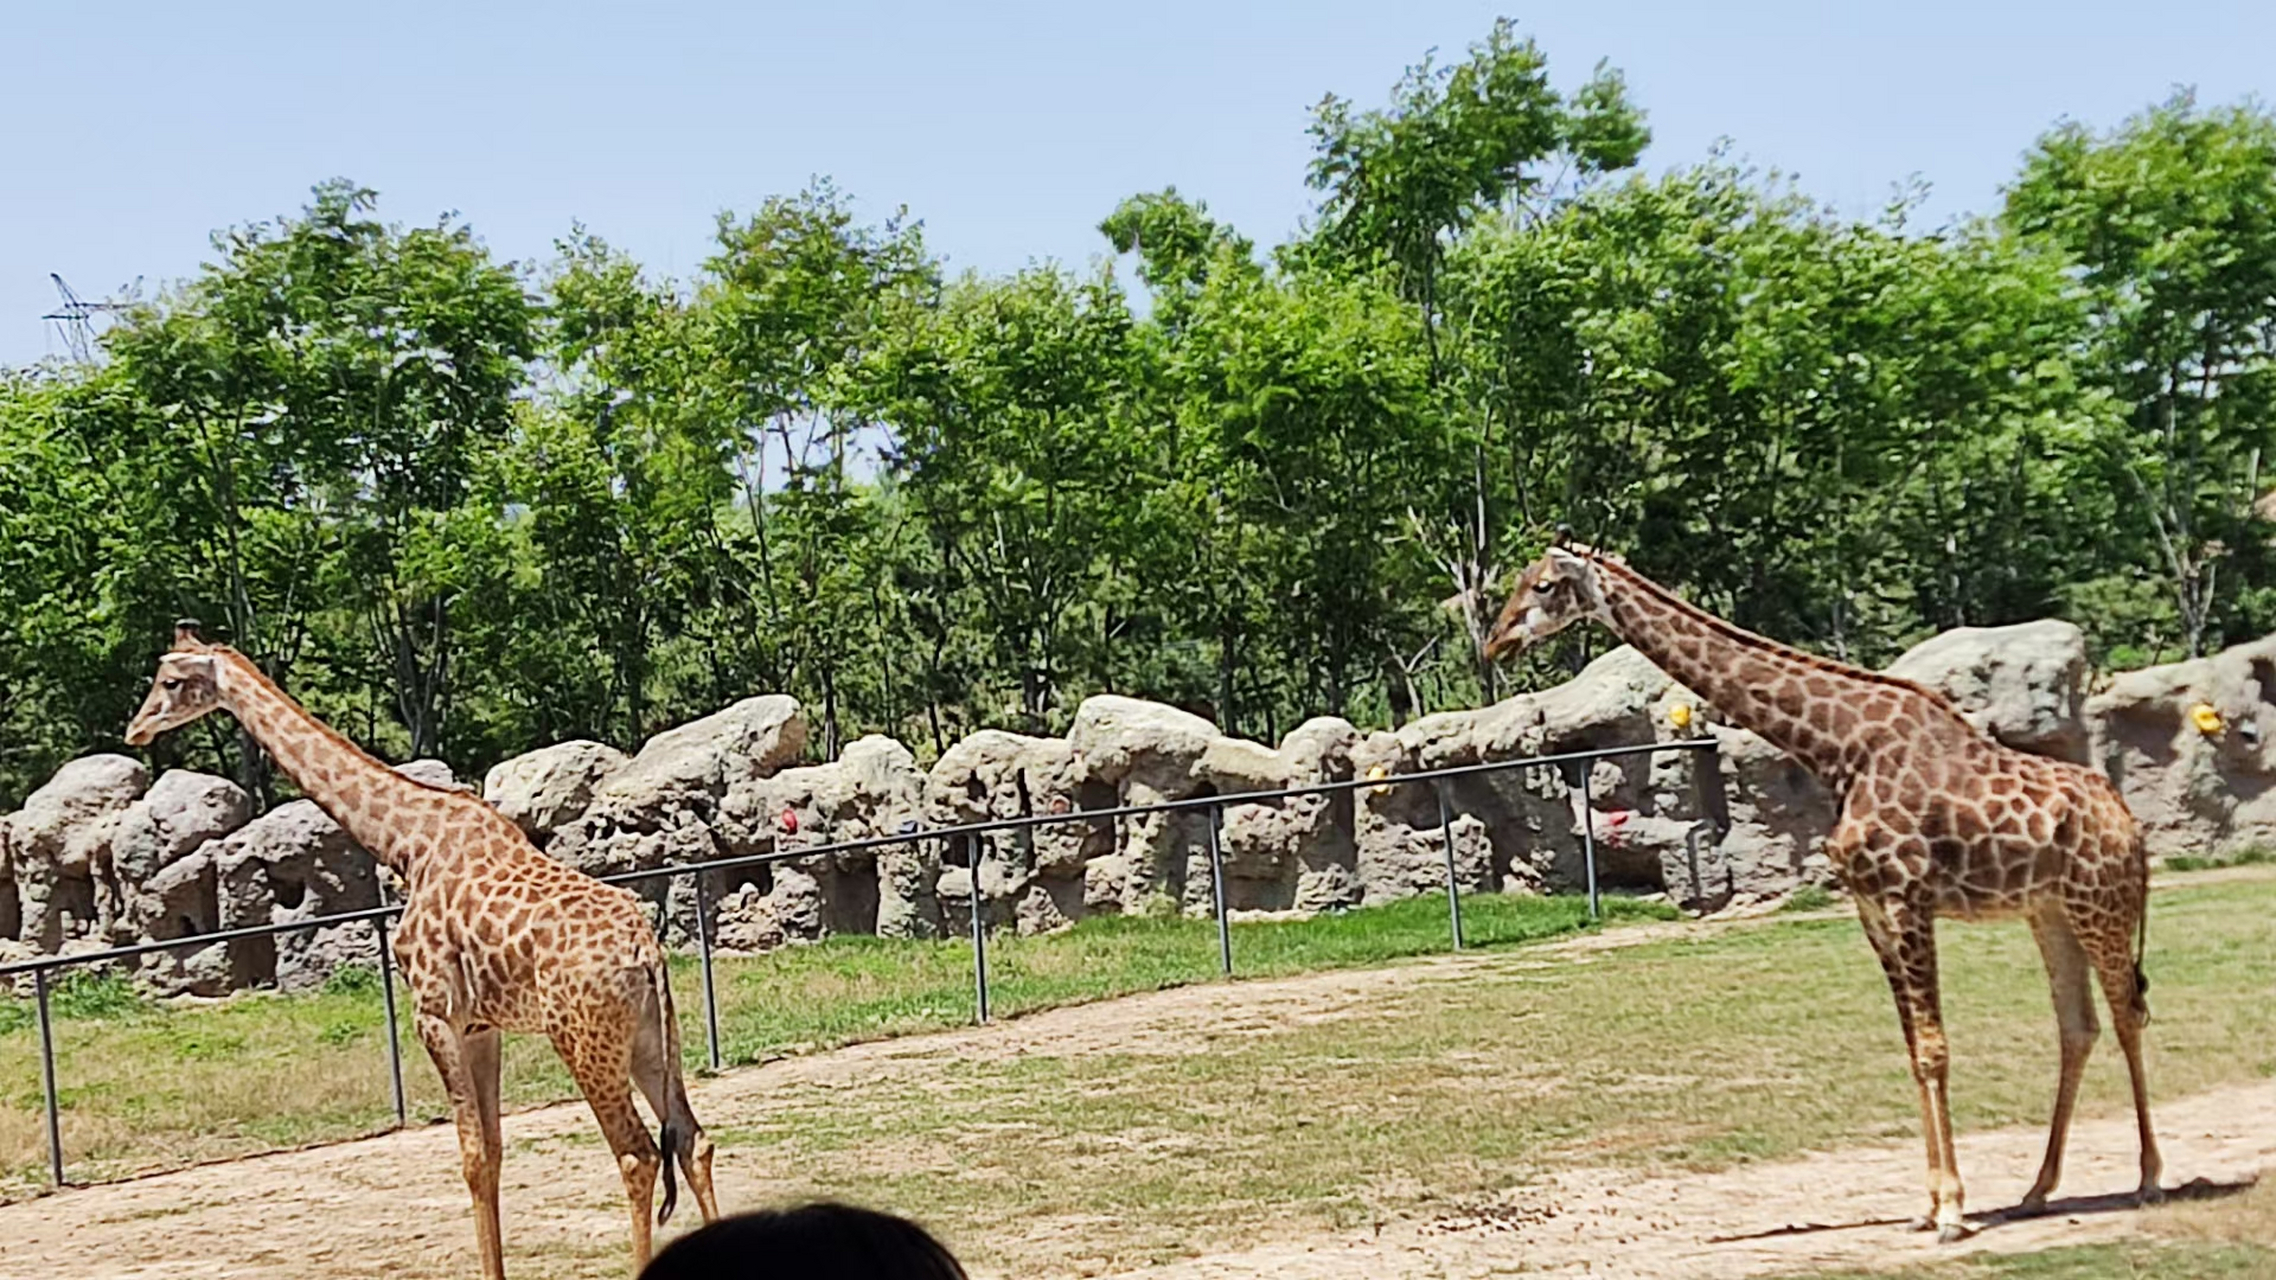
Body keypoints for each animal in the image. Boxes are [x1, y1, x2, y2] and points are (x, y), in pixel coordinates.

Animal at [122, 619, 719, 1266]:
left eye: (170, 680)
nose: (137, 728)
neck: (406, 842)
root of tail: (646, 952)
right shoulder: (481, 1026)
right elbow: (493, 1151)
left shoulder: (433, 1012)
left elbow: (471, 1158)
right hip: (649, 1036)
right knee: (692, 1139)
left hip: (582, 1037)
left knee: (637, 1153)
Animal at [1483, 535, 2157, 1239]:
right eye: (1521, 581)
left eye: (1543, 586)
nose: (1495, 642)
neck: (1839, 749)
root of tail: (2129, 823)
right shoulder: (1872, 908)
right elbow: (1913, 1049)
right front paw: (1929, 1205)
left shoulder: (1907, 896)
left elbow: (1934, 1049)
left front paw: (1952, 1210)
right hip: (2050, 911)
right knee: (2078, 1026)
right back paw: (2037, 1189)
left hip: (2100, 903)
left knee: (2127, 1012)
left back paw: (2147, 1178)